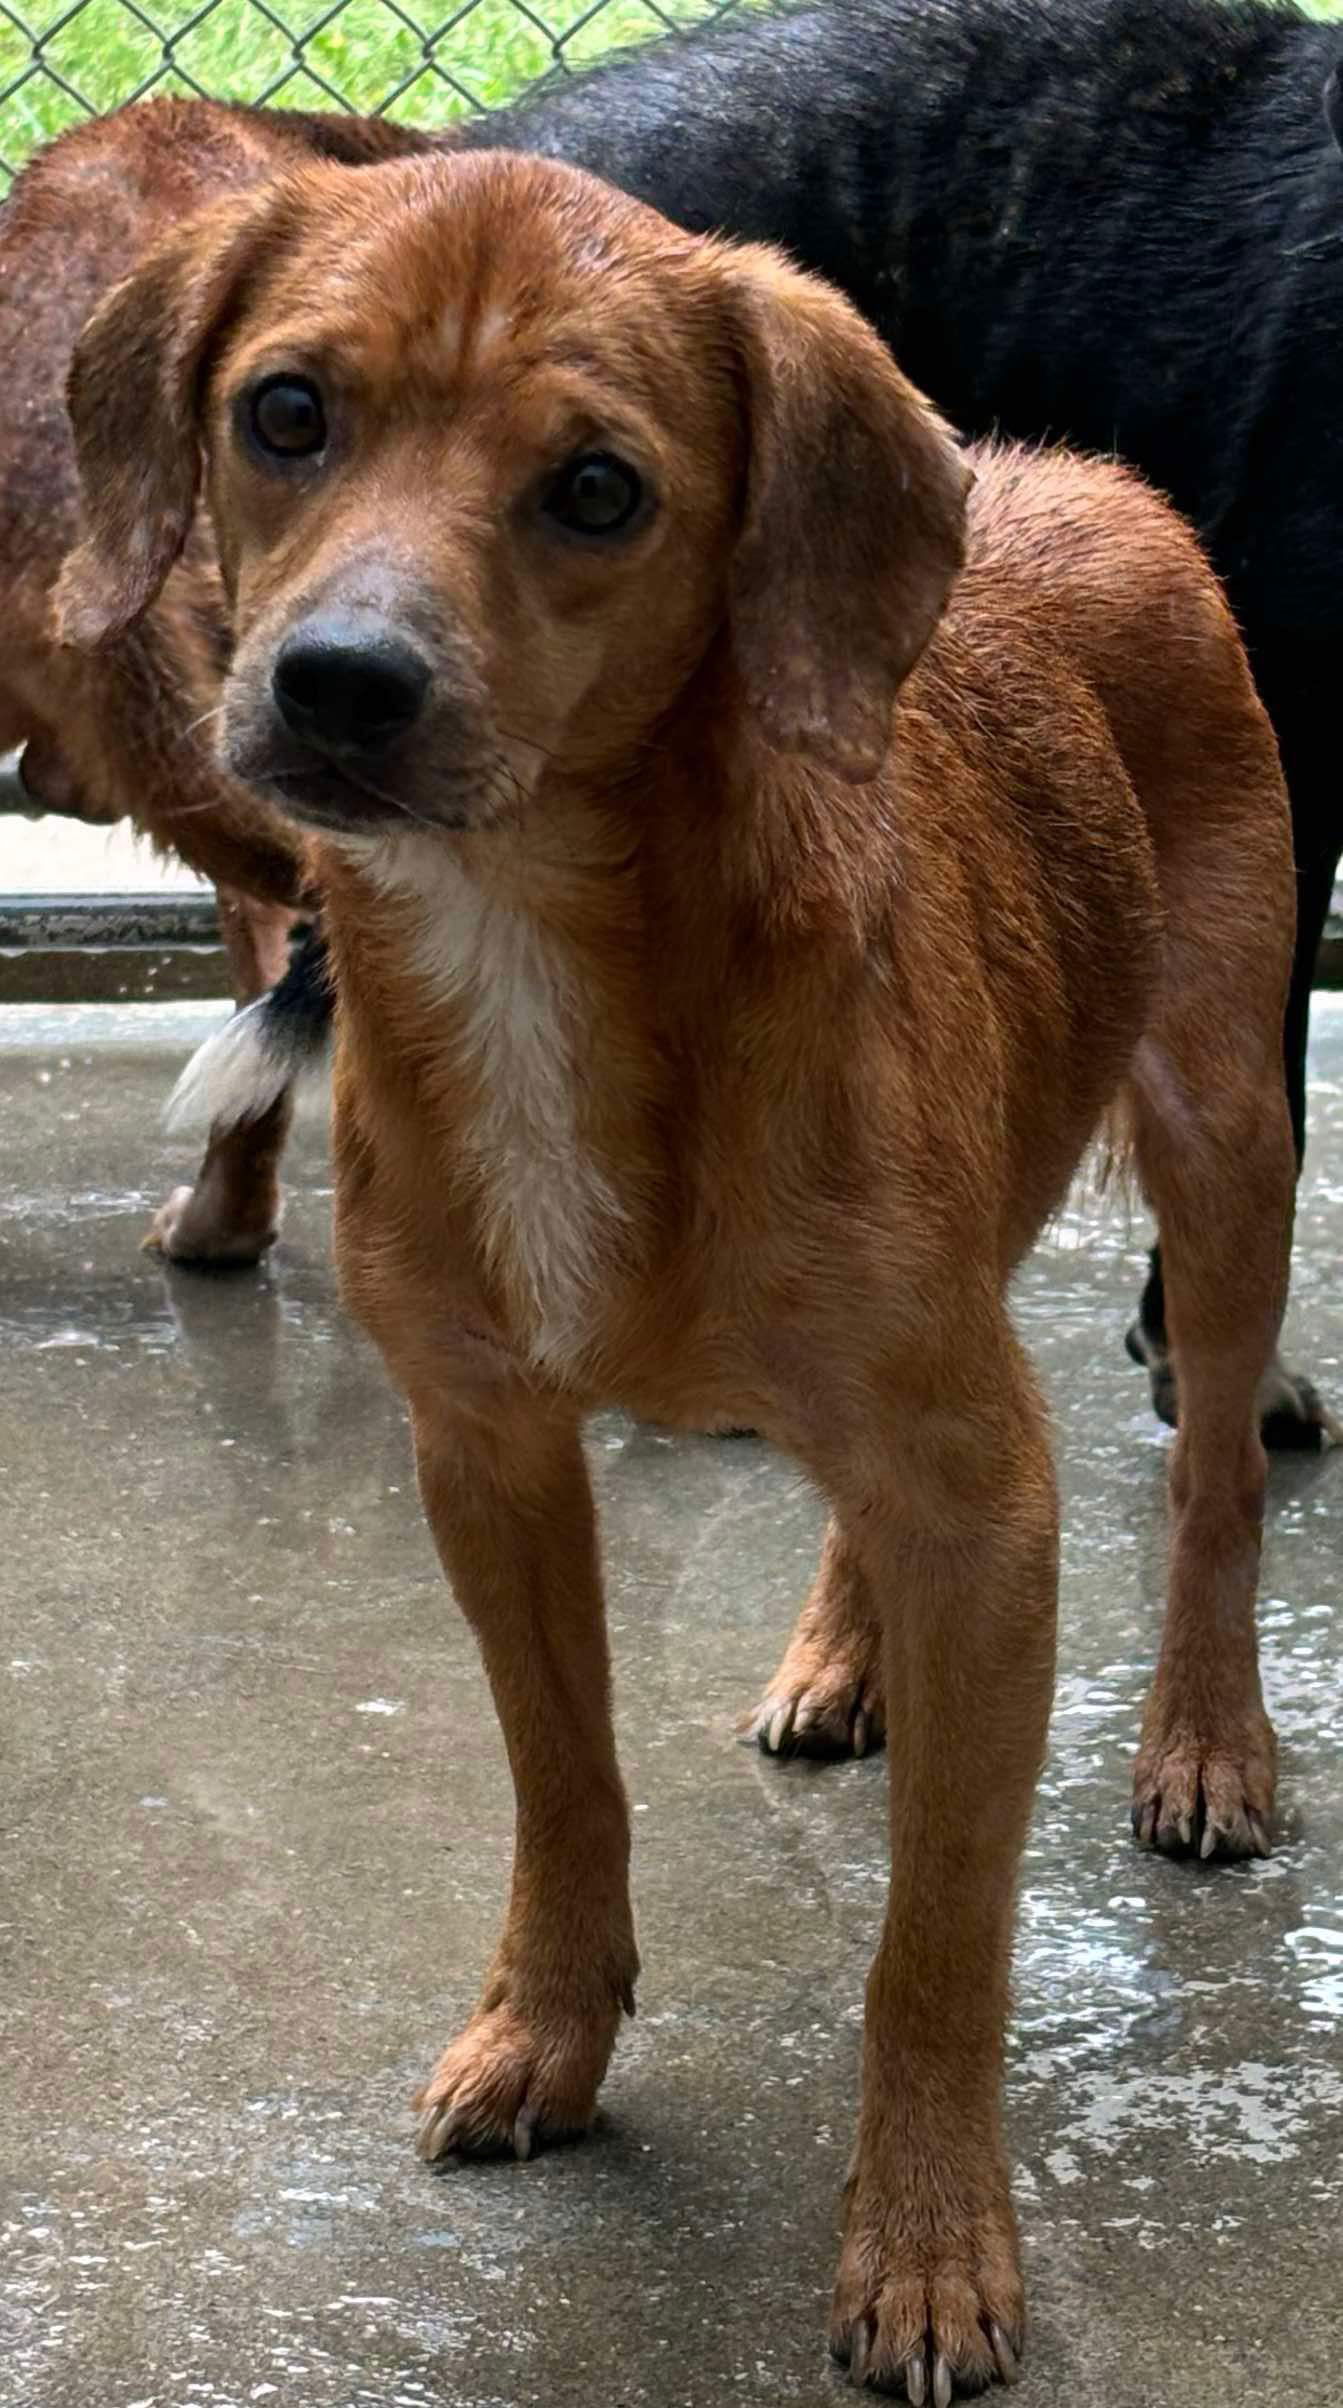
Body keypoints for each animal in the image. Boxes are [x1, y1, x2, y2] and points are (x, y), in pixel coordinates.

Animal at [57, 160, 1309, 2398]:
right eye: (285, 413)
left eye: (594, 488)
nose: (339, 682)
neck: (550, 952)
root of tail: (1077, 478)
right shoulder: (484, 1449)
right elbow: (563, 1783)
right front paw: (546, 2032)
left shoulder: (980, 1490)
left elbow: (938, 1933)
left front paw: (925, 2242)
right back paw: (842, 1654)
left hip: (1219, 1133)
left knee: (1210, 1486)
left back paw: (1199, 1738)